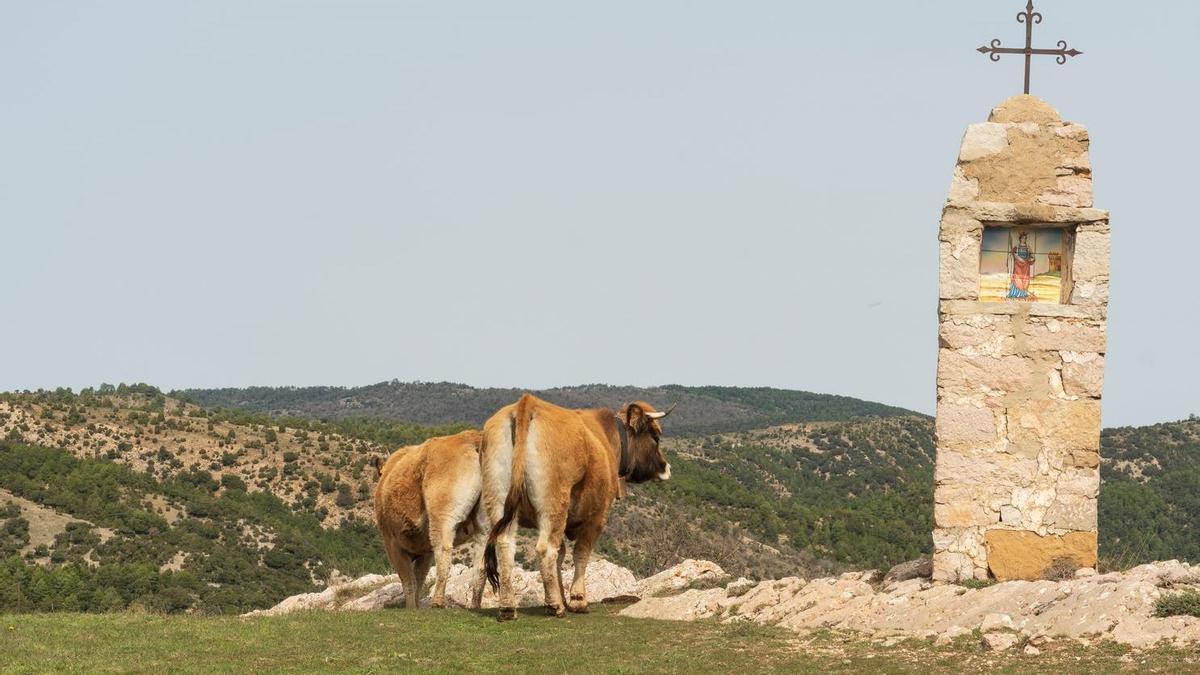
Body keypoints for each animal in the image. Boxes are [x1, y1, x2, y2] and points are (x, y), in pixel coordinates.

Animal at [374, 427, 487, 607]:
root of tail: (471, 439)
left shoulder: (391, 543)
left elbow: (408, 580)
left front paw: (411, 608)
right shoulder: (425, 552)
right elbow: (419, 579)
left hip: (442, 514)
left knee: (444, 550)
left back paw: (438, 601)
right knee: (482, 563)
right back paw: (475, 605)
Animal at [477, 393, 672, 619]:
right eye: (656, 437)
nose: (666, 467)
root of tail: (527, 403)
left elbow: (561, 555)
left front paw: (562, 595)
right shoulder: (598, 516)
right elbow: (580, 553)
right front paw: (577, 599)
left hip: (499, 500)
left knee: (505, 544)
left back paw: (508, 607)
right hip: (554, 504)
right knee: (546, 549)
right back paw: (555, 606)